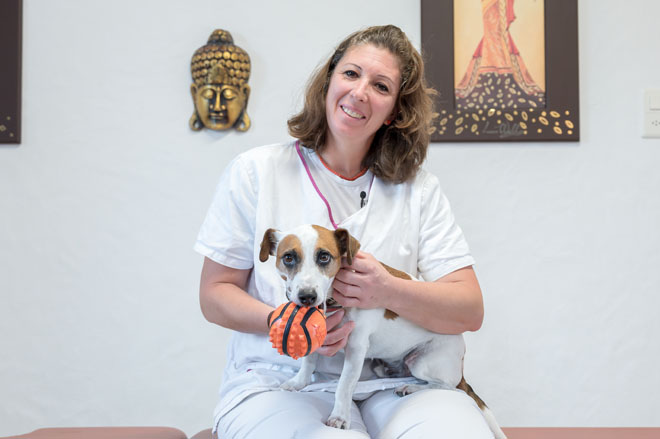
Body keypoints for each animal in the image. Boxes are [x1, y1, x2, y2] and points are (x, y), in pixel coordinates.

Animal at [258, 225, 506, 438]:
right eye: (288, 258)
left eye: (324, 257)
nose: (307, 297)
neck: (333, 299)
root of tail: (460, 366)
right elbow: (309, 361)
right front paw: (299, 382)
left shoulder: (356, 348)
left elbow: (344, 386)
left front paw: (339, 417)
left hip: (423, 363)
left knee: (449, 387)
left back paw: (411, 387)